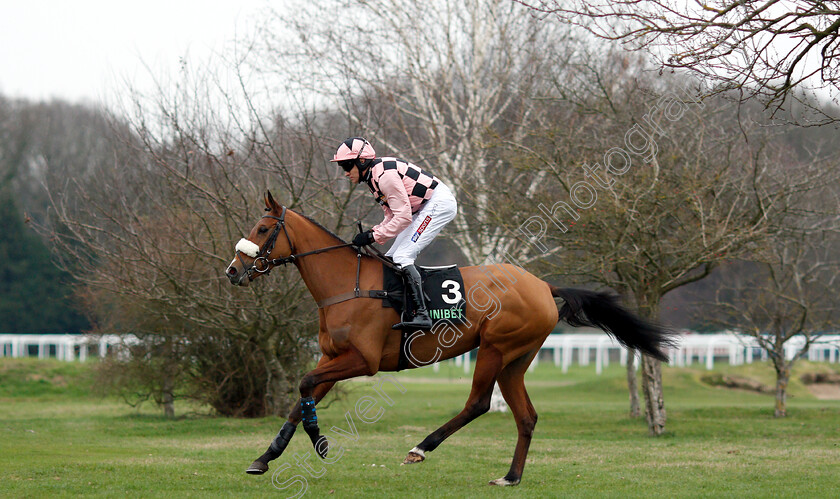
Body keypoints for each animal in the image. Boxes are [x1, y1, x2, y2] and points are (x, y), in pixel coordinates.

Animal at [225, 192, 676, 488]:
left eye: (262, 228)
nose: (232, 270)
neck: (347, 285)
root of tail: (544, 286)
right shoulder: (332, 358)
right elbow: (303, 397)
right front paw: (265, 457)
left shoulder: (363, 360)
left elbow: (303, 386)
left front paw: (319, 442)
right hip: (516, 360)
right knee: (526, 416)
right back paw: (510, 477)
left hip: (494, 347)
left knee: (478, 403)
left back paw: (422, 447)